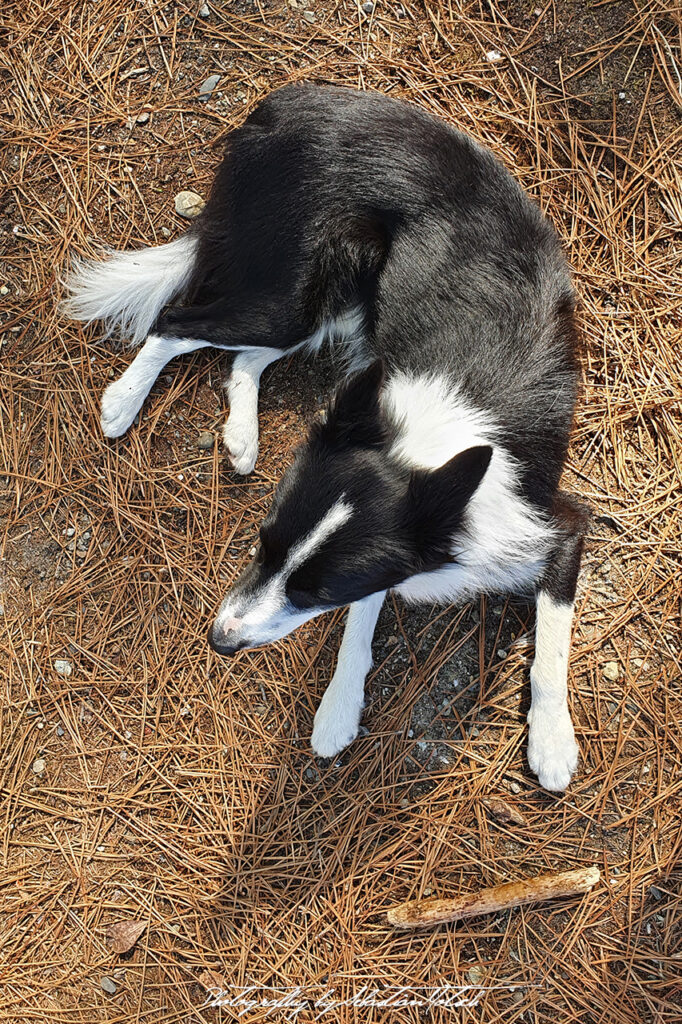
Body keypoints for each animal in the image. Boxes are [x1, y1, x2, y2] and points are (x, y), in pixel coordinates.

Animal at [62, 81, 585, 790]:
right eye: (264, 544)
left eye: (317, 591)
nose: (219, 641)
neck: (430, 444)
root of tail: (283, 103)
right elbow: (360, 627)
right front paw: (338, 708)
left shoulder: (559, 523)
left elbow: (550, 639)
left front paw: (552, 738)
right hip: (297, 292)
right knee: (177, 319)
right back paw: (122, 400)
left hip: (336, 304)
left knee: (239, 356)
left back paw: (240, 433)